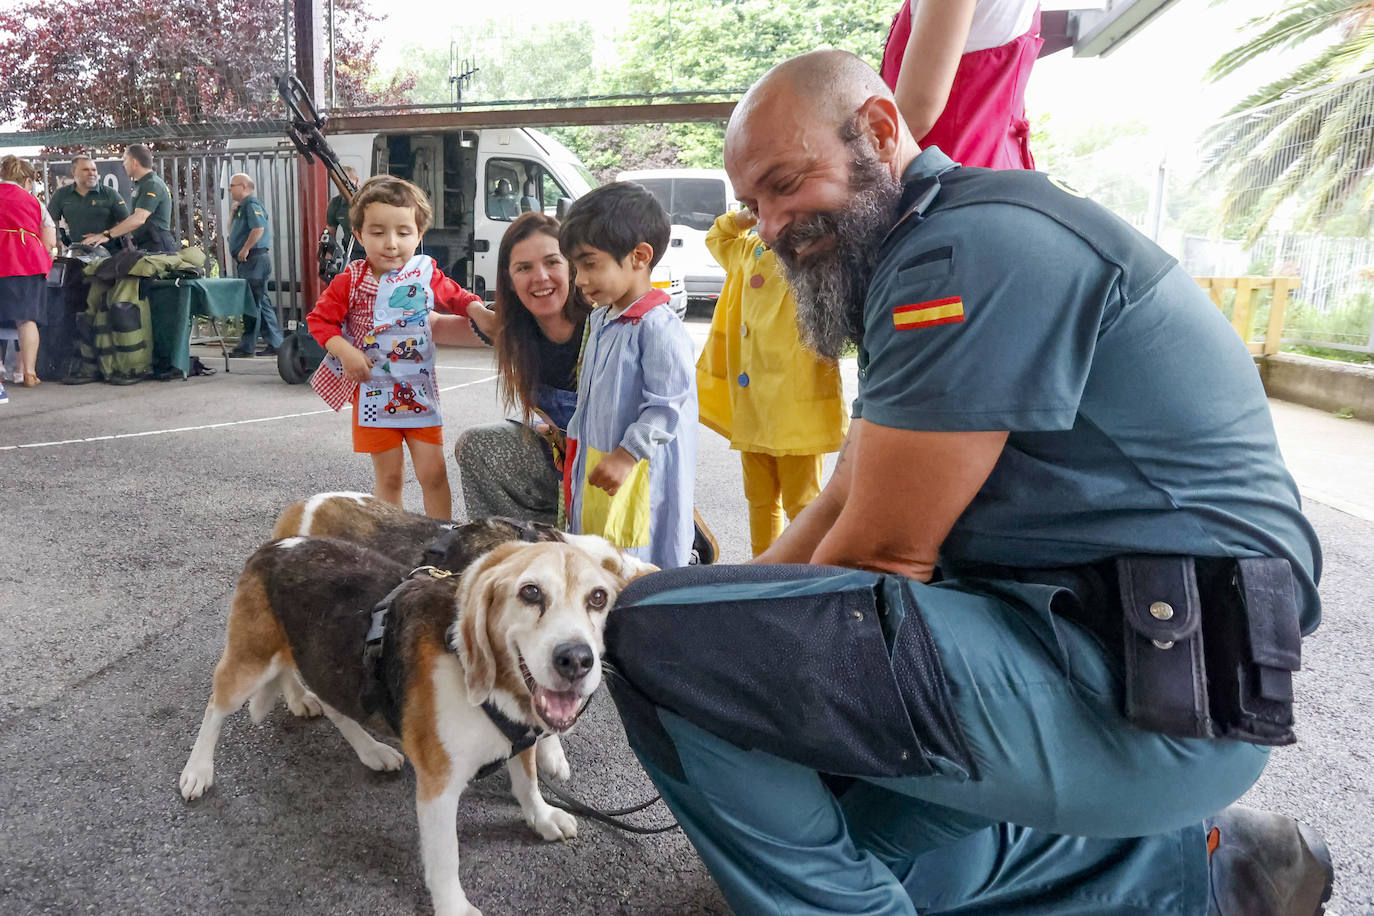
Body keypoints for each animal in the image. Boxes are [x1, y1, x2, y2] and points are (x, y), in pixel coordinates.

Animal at [178, 508, 654, 916]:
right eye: (530, 592)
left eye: (598, 598)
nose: (576, 660)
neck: (474, 672)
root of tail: (277, 544)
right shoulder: (438, 790)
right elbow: (445, 860)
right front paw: (454, 907)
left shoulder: (520, 734)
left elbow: (528, 782)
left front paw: (541, 816)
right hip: (249, 661)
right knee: (216, 706)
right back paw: (197, 771)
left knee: (335, 706)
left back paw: (370, 749)